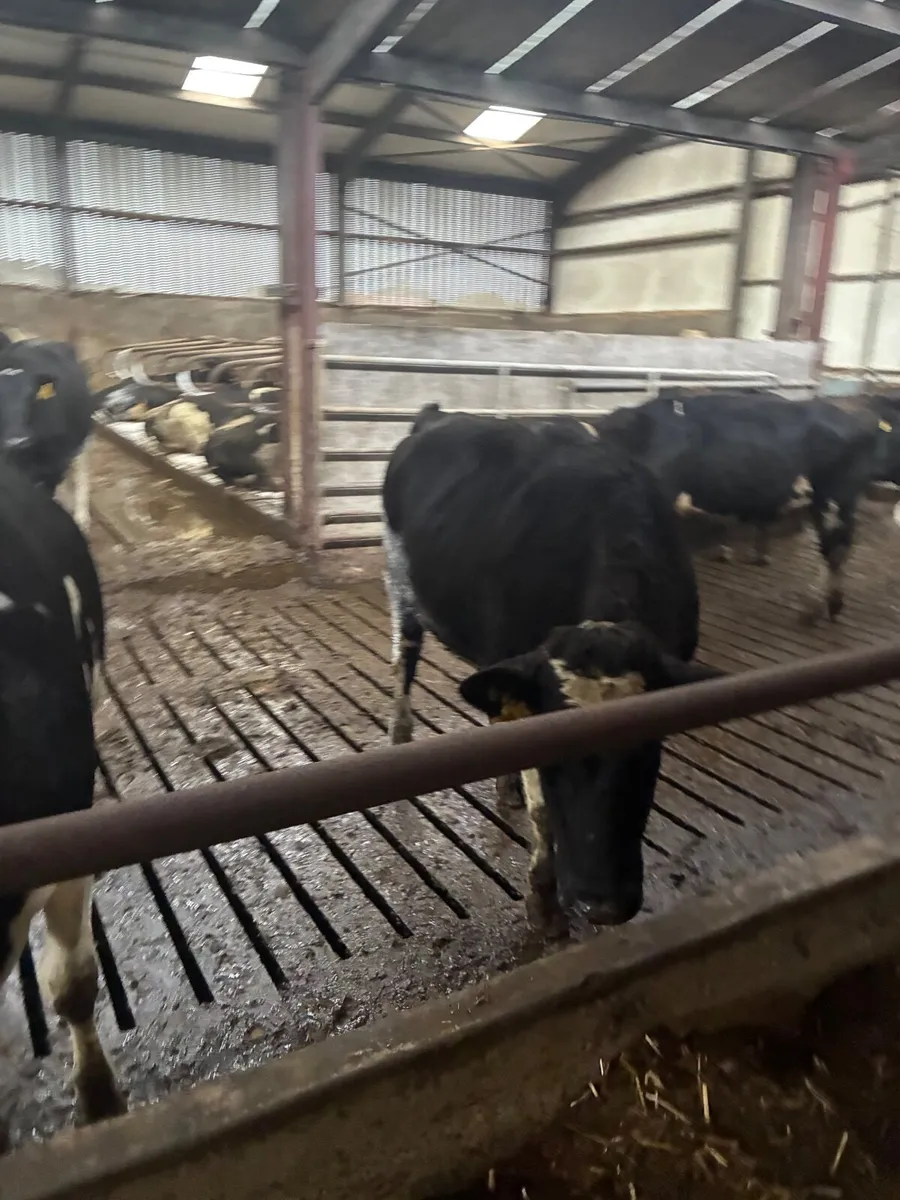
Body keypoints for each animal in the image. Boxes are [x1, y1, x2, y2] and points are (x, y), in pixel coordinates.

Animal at [382, 407, 718, 937]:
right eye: (556, 749)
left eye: (648, 750)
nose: (602, 904)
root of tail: (437, 416)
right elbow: (543, 810)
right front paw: (543, 902)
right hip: (402, 586)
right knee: (405, 659)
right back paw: (400, 732)